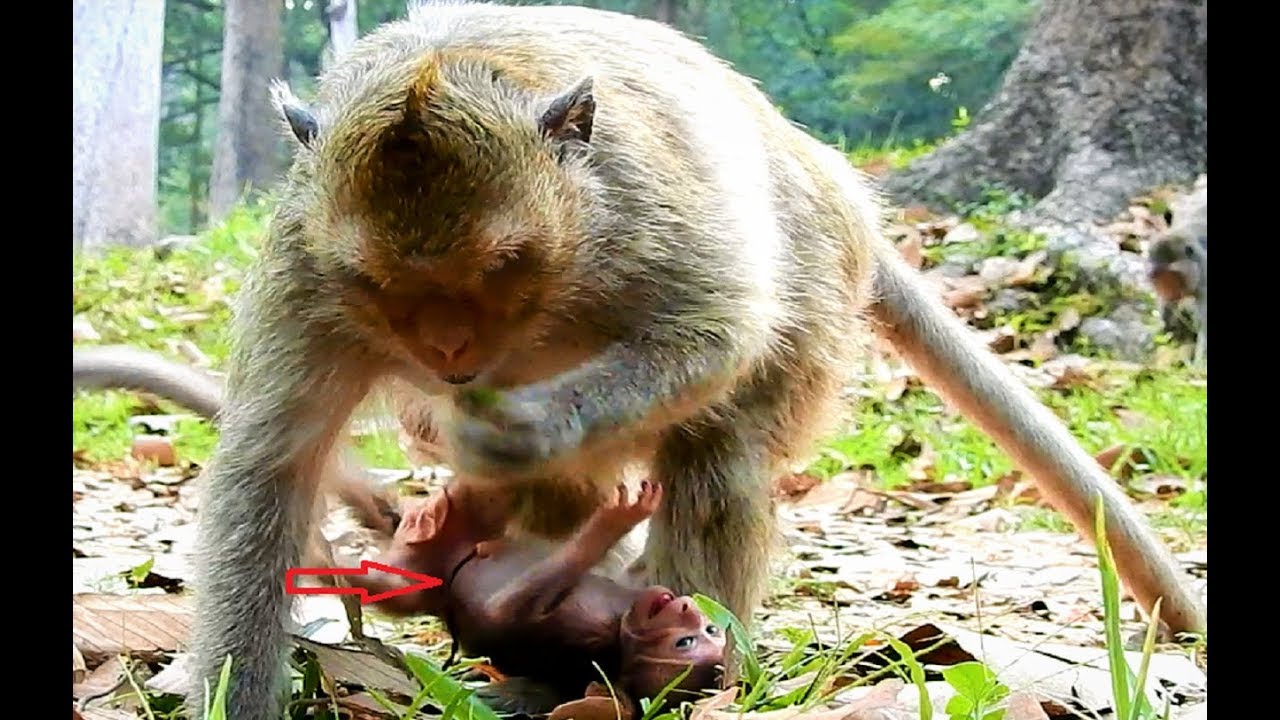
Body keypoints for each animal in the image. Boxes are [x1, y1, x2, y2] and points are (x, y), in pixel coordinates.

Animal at [341, 479, 726, 715]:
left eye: (685, 644)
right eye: (706, 631)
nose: (688, 607)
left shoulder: (587, 640)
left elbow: (504, 613)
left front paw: (612, 523)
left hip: (411, 572)